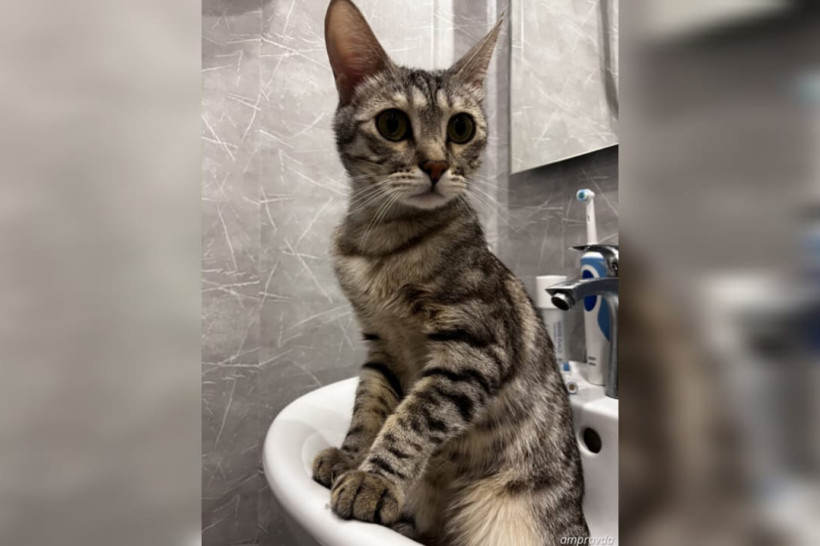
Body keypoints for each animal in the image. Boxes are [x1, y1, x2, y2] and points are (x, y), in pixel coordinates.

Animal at [311, 1, 589, 544]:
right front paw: (352, 457)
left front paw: (375, 479)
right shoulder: (380, 346)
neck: (381, 245)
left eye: (461, 128)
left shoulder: (474, 349)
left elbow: (414, 418)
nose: (437, 165)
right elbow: (369, 406)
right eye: (392, 123)